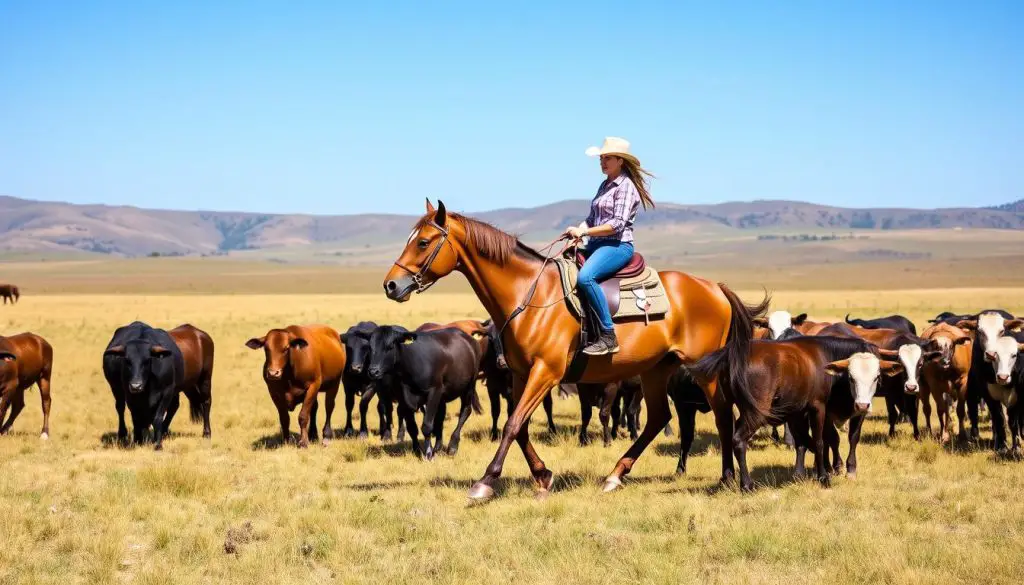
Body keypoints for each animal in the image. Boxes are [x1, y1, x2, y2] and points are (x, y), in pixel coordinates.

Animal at [366, 327, 481, 461]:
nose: (373, 371)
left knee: (465, 411)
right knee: (440, 418)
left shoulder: (434, 392)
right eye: (370, 347)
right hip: (443, 397)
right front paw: (417, 451)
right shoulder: (404, 399)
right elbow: (412, 428)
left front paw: (428, 453)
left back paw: (452, 446)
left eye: (390, 346)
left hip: (469, 386)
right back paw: (438, 447)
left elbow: (426, 426)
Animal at [380, 198, 765, 502]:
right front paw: (542, 476)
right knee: (659, 418)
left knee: (721, 415)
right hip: (656, 368)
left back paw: (726, 478)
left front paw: (486, 481)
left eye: (424, 242)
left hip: (704, 370)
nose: (391, 285)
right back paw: (614, 476)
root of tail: (714, 287)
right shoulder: (522, 374)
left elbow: (512, 425)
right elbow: (518, 426)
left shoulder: (546, 373)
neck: (530, 294)